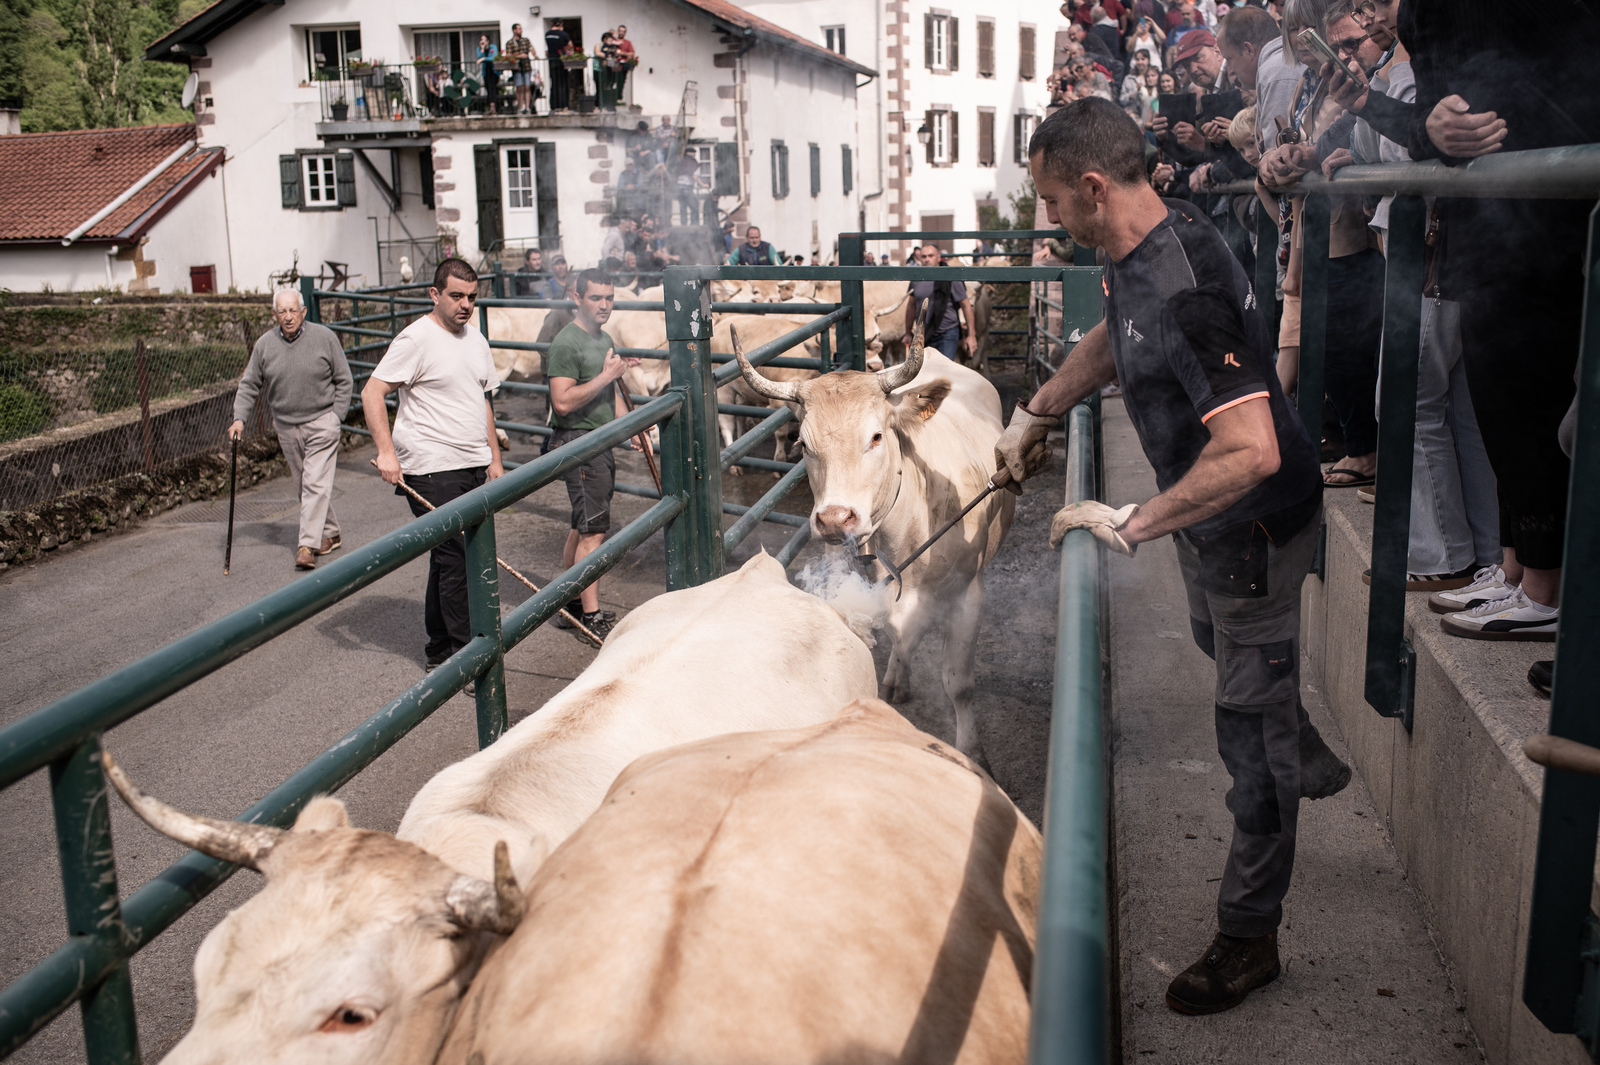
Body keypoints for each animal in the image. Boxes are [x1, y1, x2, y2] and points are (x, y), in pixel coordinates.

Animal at [734, 324, 1014, 765]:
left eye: (877, 437)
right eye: (803, 444)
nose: (834, 519)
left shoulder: (969, 597)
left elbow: (959, 684)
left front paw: (973, 755)